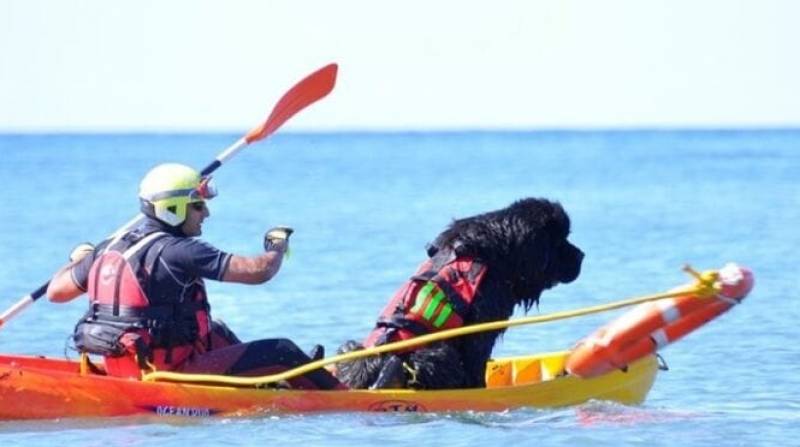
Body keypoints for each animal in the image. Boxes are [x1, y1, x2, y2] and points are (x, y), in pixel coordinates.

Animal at [334, 198, 584, 390]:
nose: (582, 255)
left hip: (353, 349)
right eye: (560, 241)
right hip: (437, 353)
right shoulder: (482, 324)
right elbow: (476, 359)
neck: (500, 251)